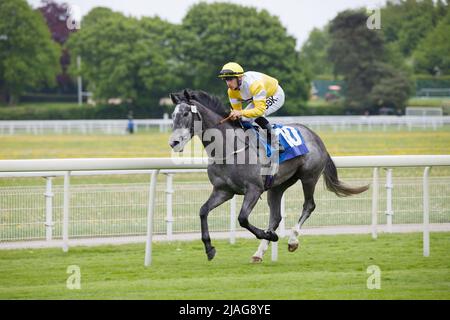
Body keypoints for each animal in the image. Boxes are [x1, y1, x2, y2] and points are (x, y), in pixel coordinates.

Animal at [169, 89, 370, 262]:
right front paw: (209, 248)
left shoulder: (254, 189)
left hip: (309, 176)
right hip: (278, 186)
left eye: (186, 114)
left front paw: (270, 235)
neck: (229, 148)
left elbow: (242, 218)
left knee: (309, 205)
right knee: (276, 216)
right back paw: (259, 253)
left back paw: (292, 240)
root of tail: (315, 135)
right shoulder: (223, 191)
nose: (174, 142)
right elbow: (203, 211)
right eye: (173, 115)